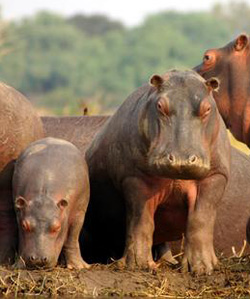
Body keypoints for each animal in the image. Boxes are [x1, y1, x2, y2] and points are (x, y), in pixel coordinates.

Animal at [12, 138, 90, 272]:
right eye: (25, 225)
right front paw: (18, 265)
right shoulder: (19, 212)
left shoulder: (79, 212)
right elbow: (21, 238)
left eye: (56, 227)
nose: (38, 259)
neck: (44, 195)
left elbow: (72, 236)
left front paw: (78, 267)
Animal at [83, 69, 230, 276]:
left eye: (207, 108)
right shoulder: (134, 177)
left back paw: (169, 262)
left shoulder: (216, 176)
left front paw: (203, 268)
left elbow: (200, 219)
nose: (181, 159)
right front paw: (139, 265)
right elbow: (141, 221)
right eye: (160, 105)